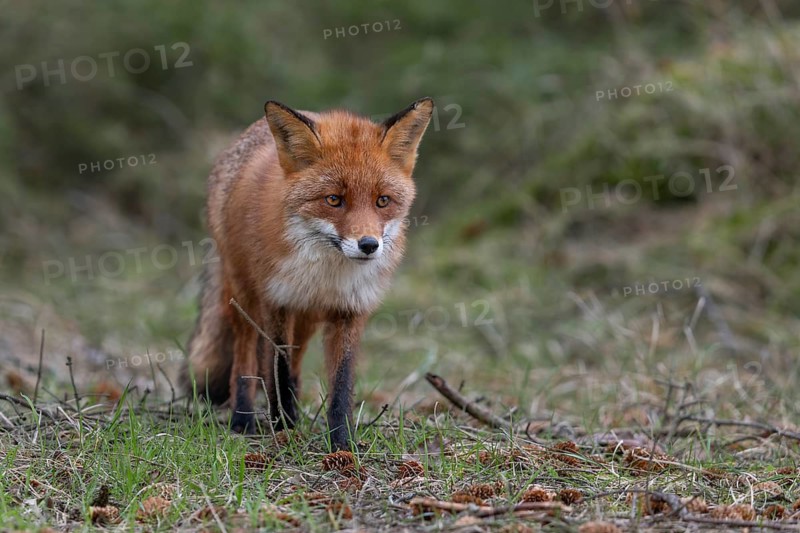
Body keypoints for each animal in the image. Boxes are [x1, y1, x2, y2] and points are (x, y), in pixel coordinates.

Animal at [180, 98, 434, 450]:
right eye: (334, 200)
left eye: (383, 201)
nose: (369, 245)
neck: (326, 275)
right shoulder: (277, 302)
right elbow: (278, 369)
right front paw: (284, 427)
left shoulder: (350, 311)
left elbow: (341, 383)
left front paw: (342, 442)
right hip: (245, 297)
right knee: (246, 355)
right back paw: (243, 418)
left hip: (306, 320)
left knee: (295, 361)